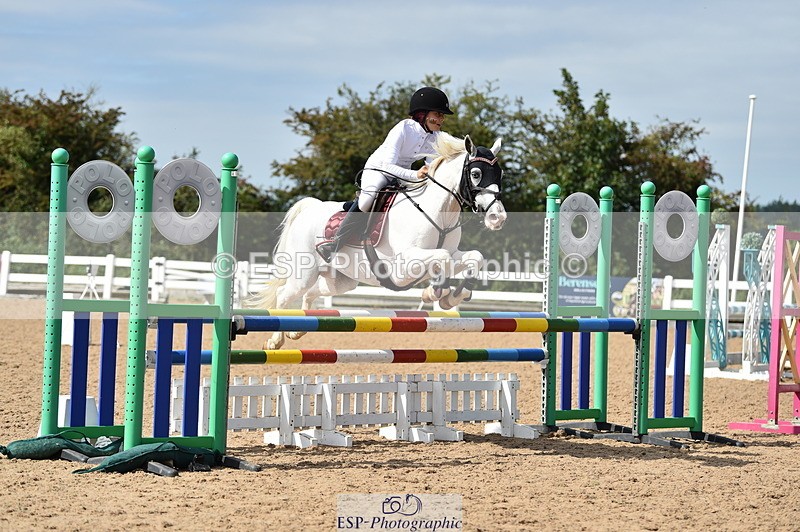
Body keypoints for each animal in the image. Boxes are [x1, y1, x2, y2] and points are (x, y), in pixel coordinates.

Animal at [249, 132, 506, 349]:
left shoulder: (453, 254)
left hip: (340, 280)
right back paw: (275, 341)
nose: (498, 217)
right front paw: (435, 292)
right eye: (476, 174)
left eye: (500, 175)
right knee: (284, 294)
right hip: (304, 273)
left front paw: (454, 296)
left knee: (312, 292)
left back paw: (296, 330)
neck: (438, 213)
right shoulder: (404, 265)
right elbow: (441, 258)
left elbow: (474, 257)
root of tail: (309, 208)